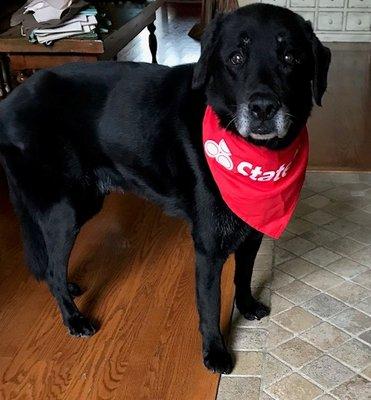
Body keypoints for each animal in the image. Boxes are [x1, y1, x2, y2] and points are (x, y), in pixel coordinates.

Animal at [0, 4, 332, 376]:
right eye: (236, 57)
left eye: (291, 57)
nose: (262, 109)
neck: (256, 154)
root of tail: (7, 104)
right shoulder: (208, 247)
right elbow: (210, 303)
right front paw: (214, 352)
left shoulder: (251, 232)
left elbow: (244, 275)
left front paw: (246, 305)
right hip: (66, 210)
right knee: (52, 268)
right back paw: (74, 318)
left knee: (53, 266)